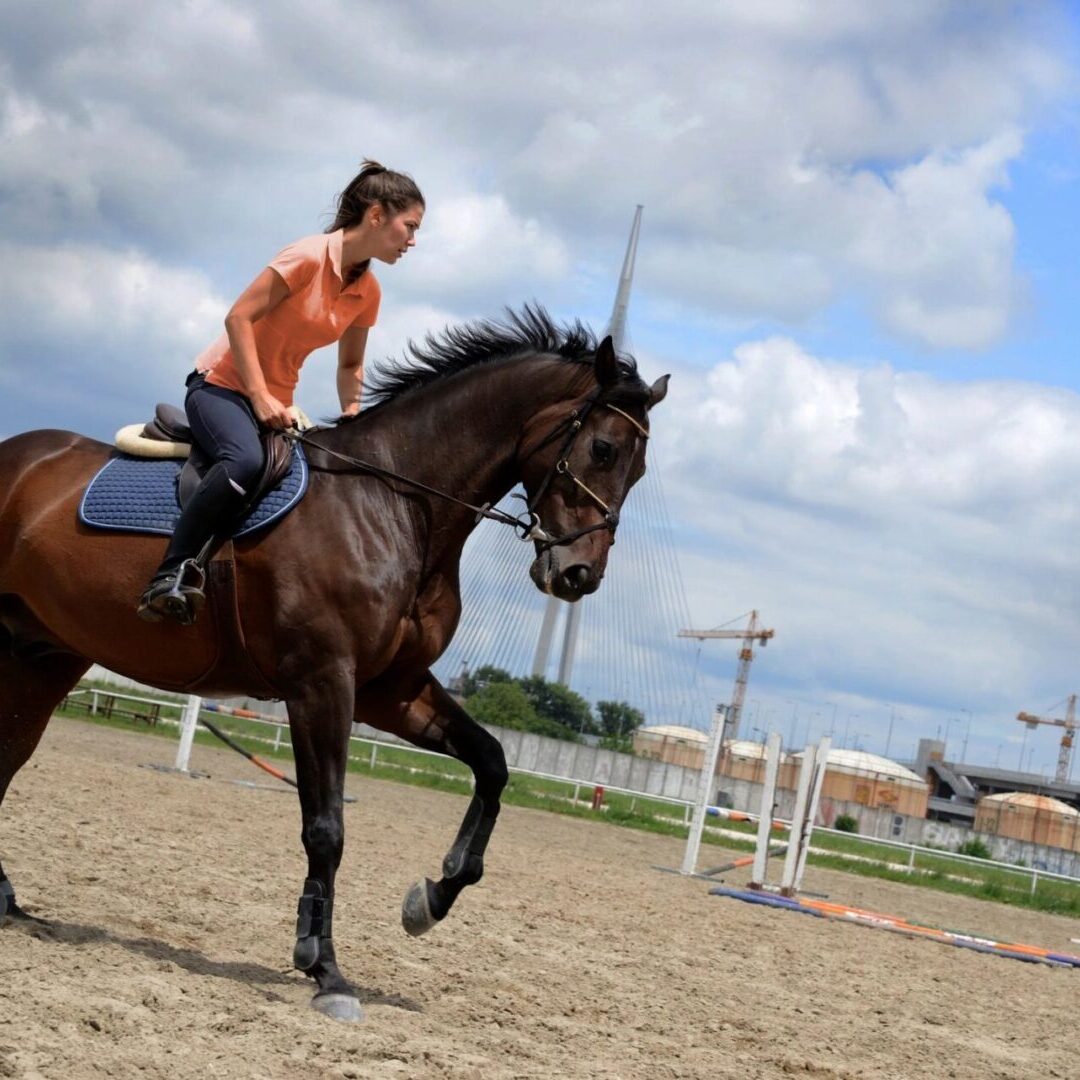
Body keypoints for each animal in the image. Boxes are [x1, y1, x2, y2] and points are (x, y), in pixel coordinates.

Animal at [0, 306, 668, 1021]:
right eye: (603, 450)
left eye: (640, 471)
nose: (578, 576)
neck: (397, 504)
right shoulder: (322, 683)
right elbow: (327, 829)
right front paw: (325, 970)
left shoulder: (391, 690)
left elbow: (491, 763)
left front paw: (430, 899)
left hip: (44, 654)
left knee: (7, 759)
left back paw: (7, 899)